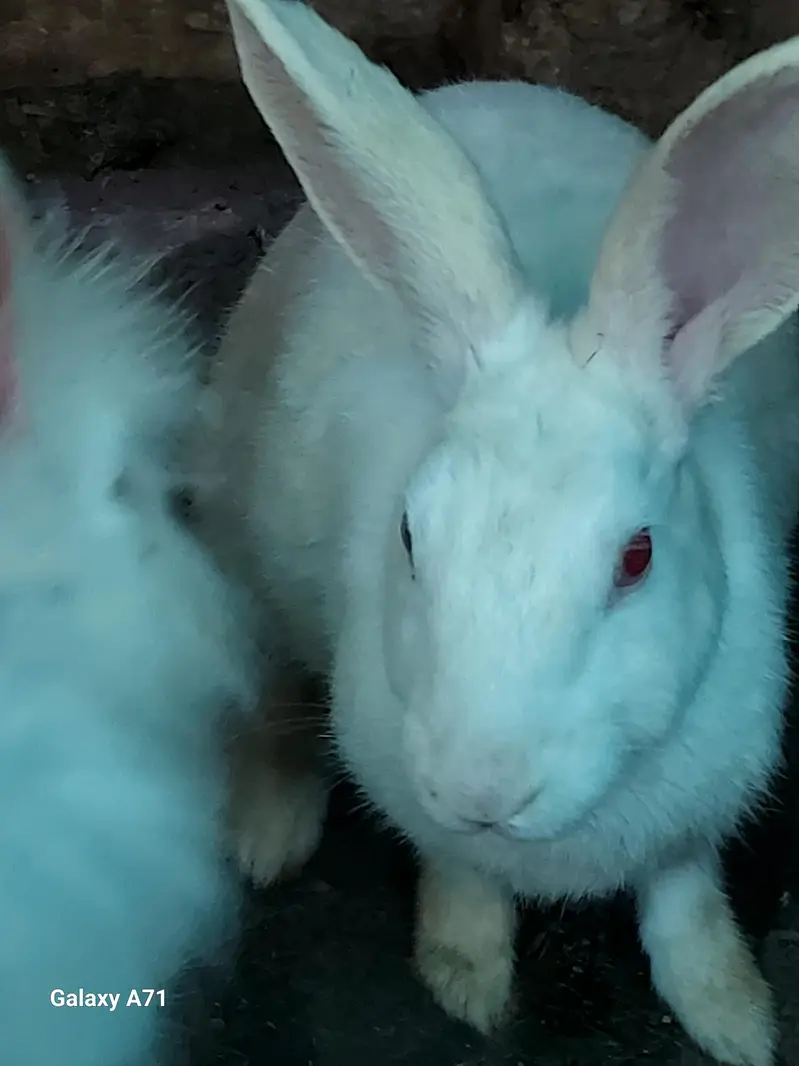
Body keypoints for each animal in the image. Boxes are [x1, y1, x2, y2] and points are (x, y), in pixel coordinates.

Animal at [193, 1, 799, 1064]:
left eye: (636, 557)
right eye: (409, 537)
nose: (483, 792)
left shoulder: (696, 818)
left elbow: (683, 904)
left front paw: (732, 1017)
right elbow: (463, 878)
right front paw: (466, 976)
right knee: (265, 696)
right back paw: (269, 835)